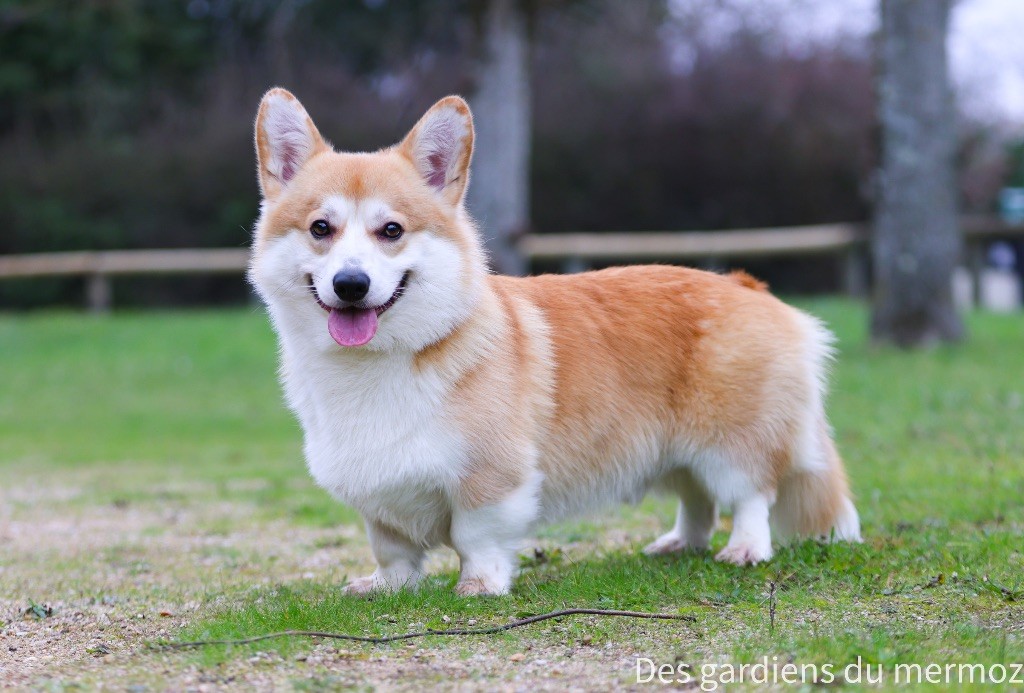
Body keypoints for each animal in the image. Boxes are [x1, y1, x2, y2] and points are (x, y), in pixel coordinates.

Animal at [249, 86, 864, 593]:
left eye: (392, 230)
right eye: (320, 228)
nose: (350, 285)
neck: (378, 362)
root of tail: (745, 285)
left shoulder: (492, 479)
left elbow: (477, 537)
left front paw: (480, 586)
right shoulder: (377, 492)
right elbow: (392, 548)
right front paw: (386, 586)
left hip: (729, 440)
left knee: (750, 495)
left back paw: (745, 550)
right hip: (676, 450)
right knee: (698, 502)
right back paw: (677, 545)